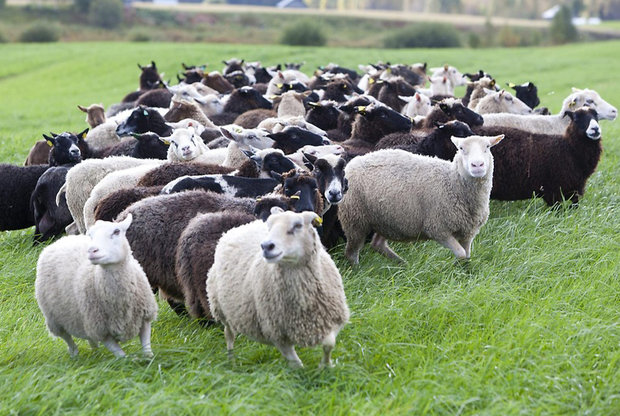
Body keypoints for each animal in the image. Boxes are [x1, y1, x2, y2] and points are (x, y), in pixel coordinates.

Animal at [34, 214, 157, 358]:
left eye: (116, 231)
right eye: (91, 235)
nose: (92, 250)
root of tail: (60, 240)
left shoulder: (145, 317)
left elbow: (147, 350)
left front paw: (150, 359)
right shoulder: (101, 331)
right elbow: (122, 357)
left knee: (89, 337)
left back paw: (95, 351)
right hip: (54, 319)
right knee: (67, 338)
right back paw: (75, 355)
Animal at [207, 210, 348, 368]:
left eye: (298, 225)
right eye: (269, 226)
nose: (266, 246)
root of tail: (240, 227)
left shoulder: (331, 320)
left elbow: (329, 344)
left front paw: (326, 366)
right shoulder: (277, 335)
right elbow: (297, 364)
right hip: (221, 309)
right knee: (229, 335)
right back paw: (231, 360)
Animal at [340, 134, 504, 264]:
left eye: (487, 147)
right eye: (461, 148)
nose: (477, 165)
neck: (451, 181)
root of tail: (354, 161)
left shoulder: (468, 232)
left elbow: (467, 255)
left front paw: (464, 272)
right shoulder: (438, 229)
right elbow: (461, 254)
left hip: (386, 218)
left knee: (377, 244)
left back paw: (403, 265)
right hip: (355, 219)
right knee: (351, 252)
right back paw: (358, 269)